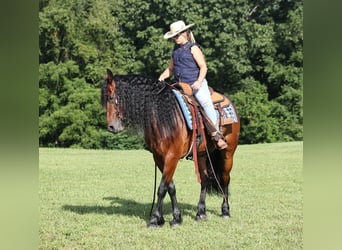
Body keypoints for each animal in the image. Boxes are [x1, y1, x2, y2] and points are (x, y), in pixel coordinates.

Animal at [101, 69, 240, 228]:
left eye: (112, 97)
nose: (111, 127)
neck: (164, 117)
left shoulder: (172, 156)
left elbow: (162, 188)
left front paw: (155, 219)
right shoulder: (159, 158)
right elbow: (170, 187)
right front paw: (175, 218)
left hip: (228, 153)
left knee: (225, 178)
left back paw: (225, 210)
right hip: (202, 155)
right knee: (204, 179)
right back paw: (200, 212)